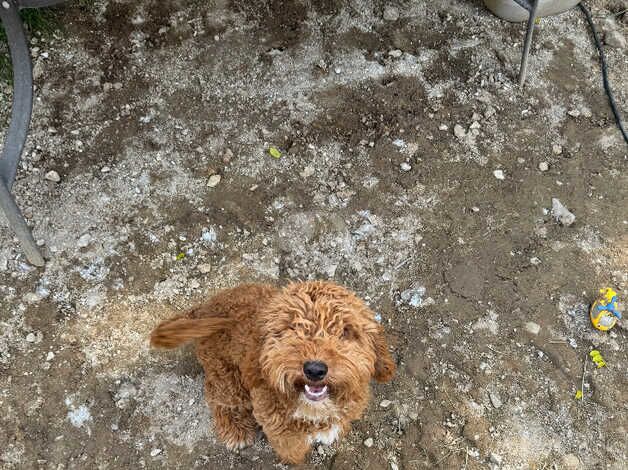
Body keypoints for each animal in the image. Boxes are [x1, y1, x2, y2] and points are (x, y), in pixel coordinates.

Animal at [150, 280, 394, 464]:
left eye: (346, 331)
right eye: (291, 328)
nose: (314, 369)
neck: (312, 408)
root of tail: (204, 308)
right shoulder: (276, 427)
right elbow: (292, 450)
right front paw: (295, 459)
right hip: (228, 379)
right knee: (216, 397)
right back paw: (235, 430)